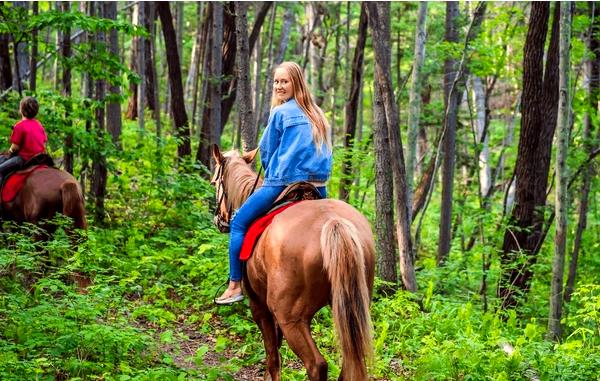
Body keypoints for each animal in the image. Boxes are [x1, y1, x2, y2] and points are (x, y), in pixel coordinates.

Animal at [212, 144, 376, 378]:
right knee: (350, 361)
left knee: (316, 364)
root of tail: (334, 222)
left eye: (214, 182)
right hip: (350, 311)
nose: (219, 221)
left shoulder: (259, 306)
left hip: (291, 318)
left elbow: (272, 357)